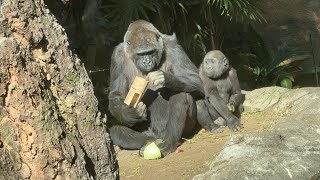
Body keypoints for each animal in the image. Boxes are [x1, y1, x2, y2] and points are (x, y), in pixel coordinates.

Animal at [107, 20, 202, 157]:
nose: (147, 61)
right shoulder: (117, 56)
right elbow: (116, 95)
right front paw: (131, 113)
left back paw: (169, 142)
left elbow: (195, 79)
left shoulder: (174, 46)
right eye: (141, 54)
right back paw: (149, 141)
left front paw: (165, 78)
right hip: (148, 132)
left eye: (150, 52)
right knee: (116, 131)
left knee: (181, 95)